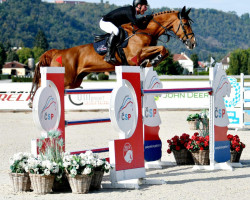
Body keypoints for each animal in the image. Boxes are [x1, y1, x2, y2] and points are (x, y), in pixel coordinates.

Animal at [29, 6, 195, 103]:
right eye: (186, 24)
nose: (192, 43)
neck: (145, 30)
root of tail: (57, 52)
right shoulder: (135, 55)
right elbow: (163, 49)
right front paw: (153, 61)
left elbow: (162, 50)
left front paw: (151, 62)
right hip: (66, 79)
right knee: (42, 84)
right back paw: (32, 101)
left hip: (75, 81)